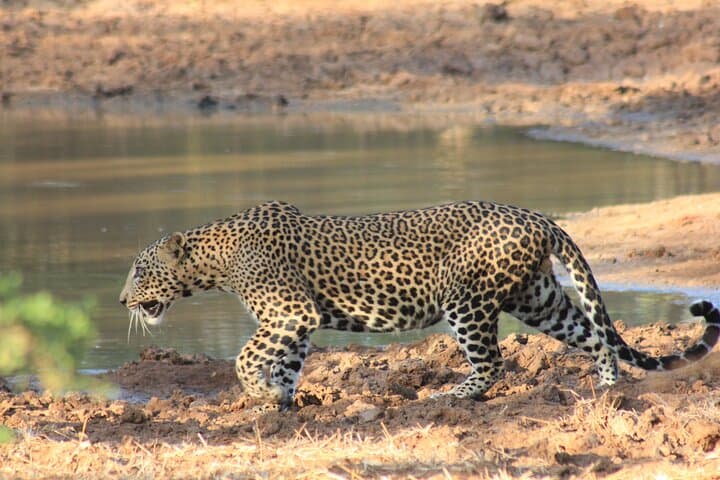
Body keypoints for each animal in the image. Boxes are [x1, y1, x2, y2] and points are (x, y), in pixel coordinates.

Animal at [119, 201, 720, 408]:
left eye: (139, 269)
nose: (122, 298)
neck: (214, 258)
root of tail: (537, 216)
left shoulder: (290, 312)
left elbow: (247, 357)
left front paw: (259, 392)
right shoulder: (296, 323)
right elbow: (285, 363)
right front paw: (280, 403)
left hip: (467, 300)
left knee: (494, 362)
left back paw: (452, 393)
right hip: (538, 298)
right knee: (596, 333)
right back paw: (607, 388)